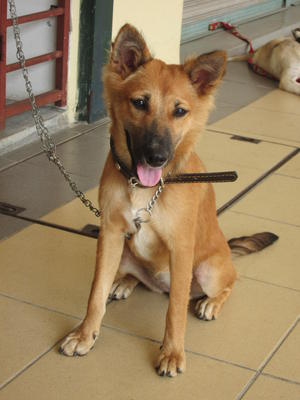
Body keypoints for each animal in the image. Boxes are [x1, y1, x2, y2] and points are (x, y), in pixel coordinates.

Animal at [59, 24, 278, 376]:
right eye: (139, 102)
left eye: (180, 111)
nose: (157, 157)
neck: (144, 189)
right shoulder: (110, 234)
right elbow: (95, 292)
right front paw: (85, 334)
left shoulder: (181, 248)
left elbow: (175, 310)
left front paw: (172, 353)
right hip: (124, 252)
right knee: (138, 279)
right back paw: (124, 282)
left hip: (208, 270)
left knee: (229, 283)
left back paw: (210, 302)